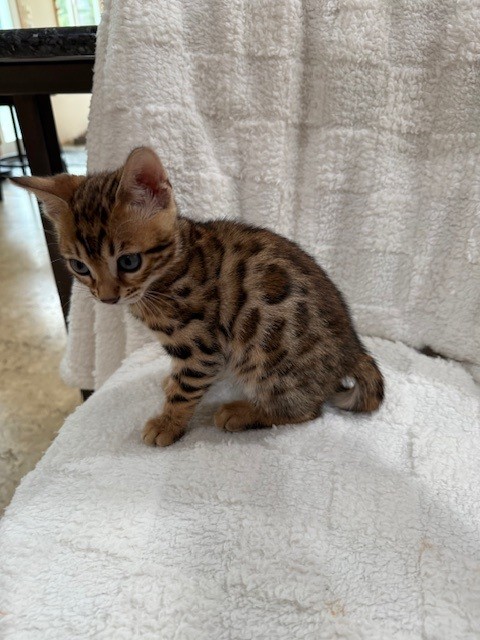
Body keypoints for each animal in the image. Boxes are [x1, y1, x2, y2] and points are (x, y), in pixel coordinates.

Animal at [12, 147, 384, 447]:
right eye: (79, 266)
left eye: (129, 261)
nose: (106, 298)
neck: (169, 269)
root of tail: (353, 349)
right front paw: (168, 385)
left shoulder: (202, 346)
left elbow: (186, 388)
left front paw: (167, 423)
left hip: (267, 361)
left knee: (306, 410)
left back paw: (243, 412)